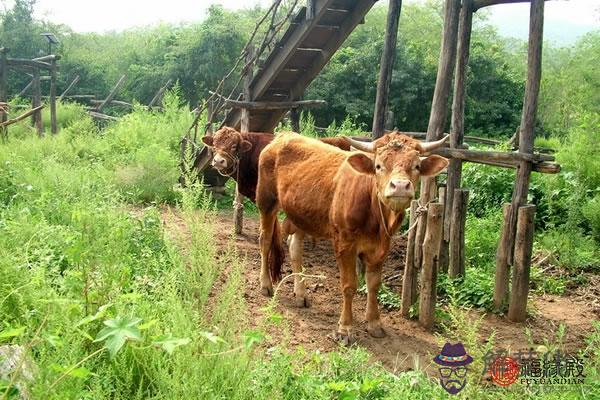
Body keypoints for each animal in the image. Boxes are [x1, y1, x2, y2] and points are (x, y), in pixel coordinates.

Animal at [255, 131, 448, 340]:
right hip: (266, 202)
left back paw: (301, 294)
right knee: (265, 241)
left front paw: (374, 323)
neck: (376, 220)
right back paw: (265, 285)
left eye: (417, 166)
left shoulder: (381, 248)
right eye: (378, 166)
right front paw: (345, 328)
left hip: (300, 214)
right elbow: (349, 285)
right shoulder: (344, 243)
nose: (400, 186)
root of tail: (283, 135)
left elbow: (373, 285)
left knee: (295, 249)